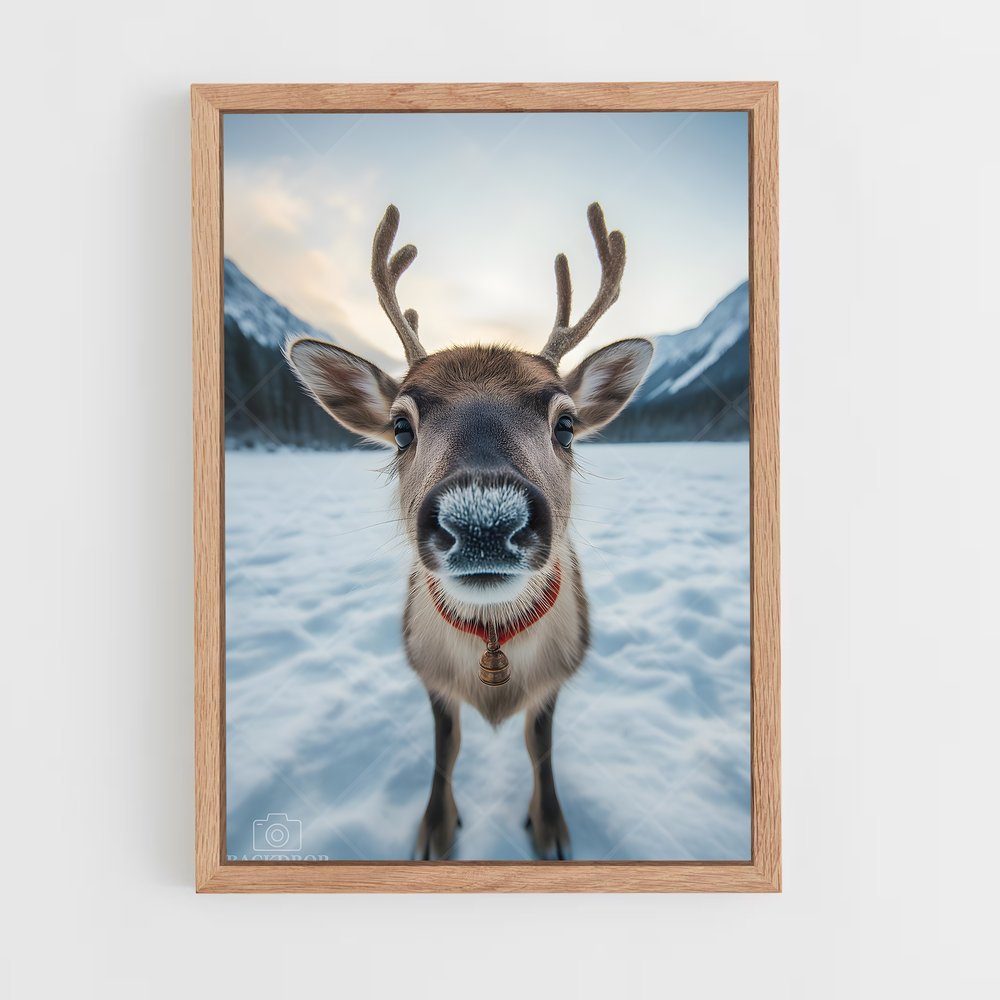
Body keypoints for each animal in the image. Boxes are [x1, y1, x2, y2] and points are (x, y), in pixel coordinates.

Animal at [285, 203, 653, 860]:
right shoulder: (427, 673)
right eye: (400, 426)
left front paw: (551, 828)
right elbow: (445, 748)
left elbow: (540, 746)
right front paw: (435, 829)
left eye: (567, 424)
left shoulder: (558, 677)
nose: (483, 518)